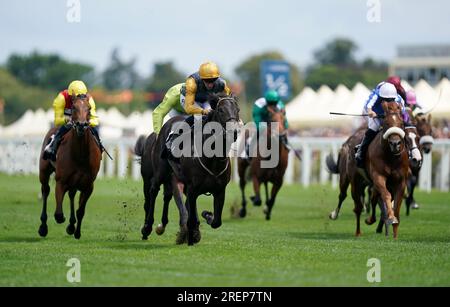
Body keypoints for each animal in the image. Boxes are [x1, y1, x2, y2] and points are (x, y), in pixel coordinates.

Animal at [37, 96, 101, 241]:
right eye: (74, 107)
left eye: (89, 108)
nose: (81, 125)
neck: (80, 155)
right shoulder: (61, 182)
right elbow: (59, 215)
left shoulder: (88, 185)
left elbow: (80, 211)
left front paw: (76, 231)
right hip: (44, 171)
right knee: (45, 190)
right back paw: (43, 227)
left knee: (71, 195)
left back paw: (71, 224)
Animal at [141, 95, 241, 247]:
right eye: (221, 110)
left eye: (238, 110)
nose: (233, 132)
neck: (213, 159)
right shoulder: (192, 189)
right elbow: (191, 218)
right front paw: (190, 239)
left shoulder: (220, 190)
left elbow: (216, 222)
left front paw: (207, 215)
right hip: (160, 172)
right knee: (153, 191)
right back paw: (147, 227)